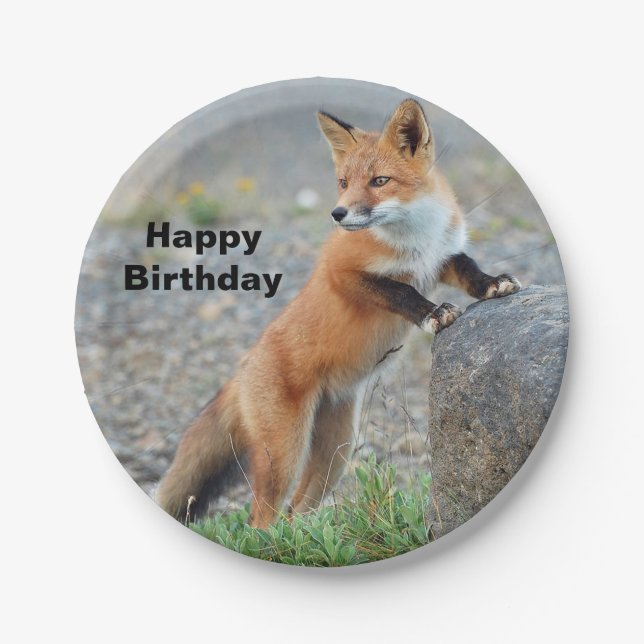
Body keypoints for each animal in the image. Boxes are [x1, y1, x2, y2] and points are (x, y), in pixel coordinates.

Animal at [156, 98, 521, 529]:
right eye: (344, 182)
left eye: (380, 181)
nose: (338, 213)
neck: (416, 239)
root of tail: (244, 367)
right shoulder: (342, 272)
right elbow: (401, 291)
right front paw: (433, 314)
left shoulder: (441, 258)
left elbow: (468, 268)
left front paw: (493, 285)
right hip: (284, 452)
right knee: (261, 519)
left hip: (336, 450)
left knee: (297, 511)